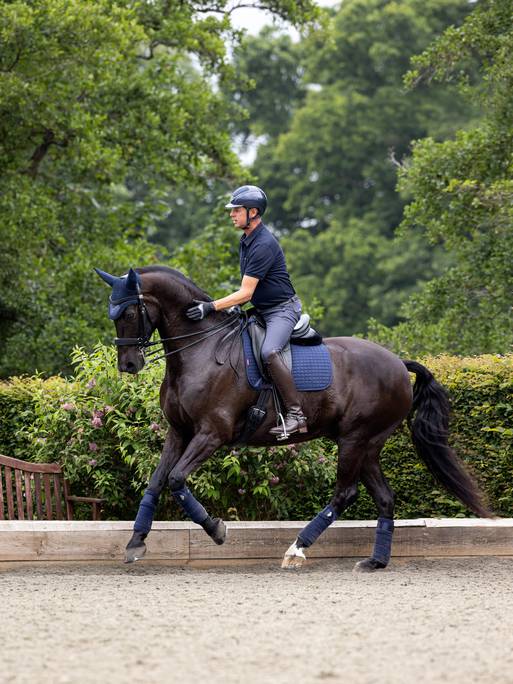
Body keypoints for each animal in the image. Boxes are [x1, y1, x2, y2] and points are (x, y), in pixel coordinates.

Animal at [96, 264, 492, 568]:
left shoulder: (212, 433)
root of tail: (397, 362)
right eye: (113, 315)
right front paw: (135, 543)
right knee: (384, 497)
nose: (128, 365)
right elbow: (156, 481)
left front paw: (216, 529)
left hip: (355, 439)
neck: (200, 352)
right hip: (367, 445)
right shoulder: (178, 432)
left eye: (128, 313)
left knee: (344, 494)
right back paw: (375, 561)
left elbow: (177, 480)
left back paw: (297, 549)